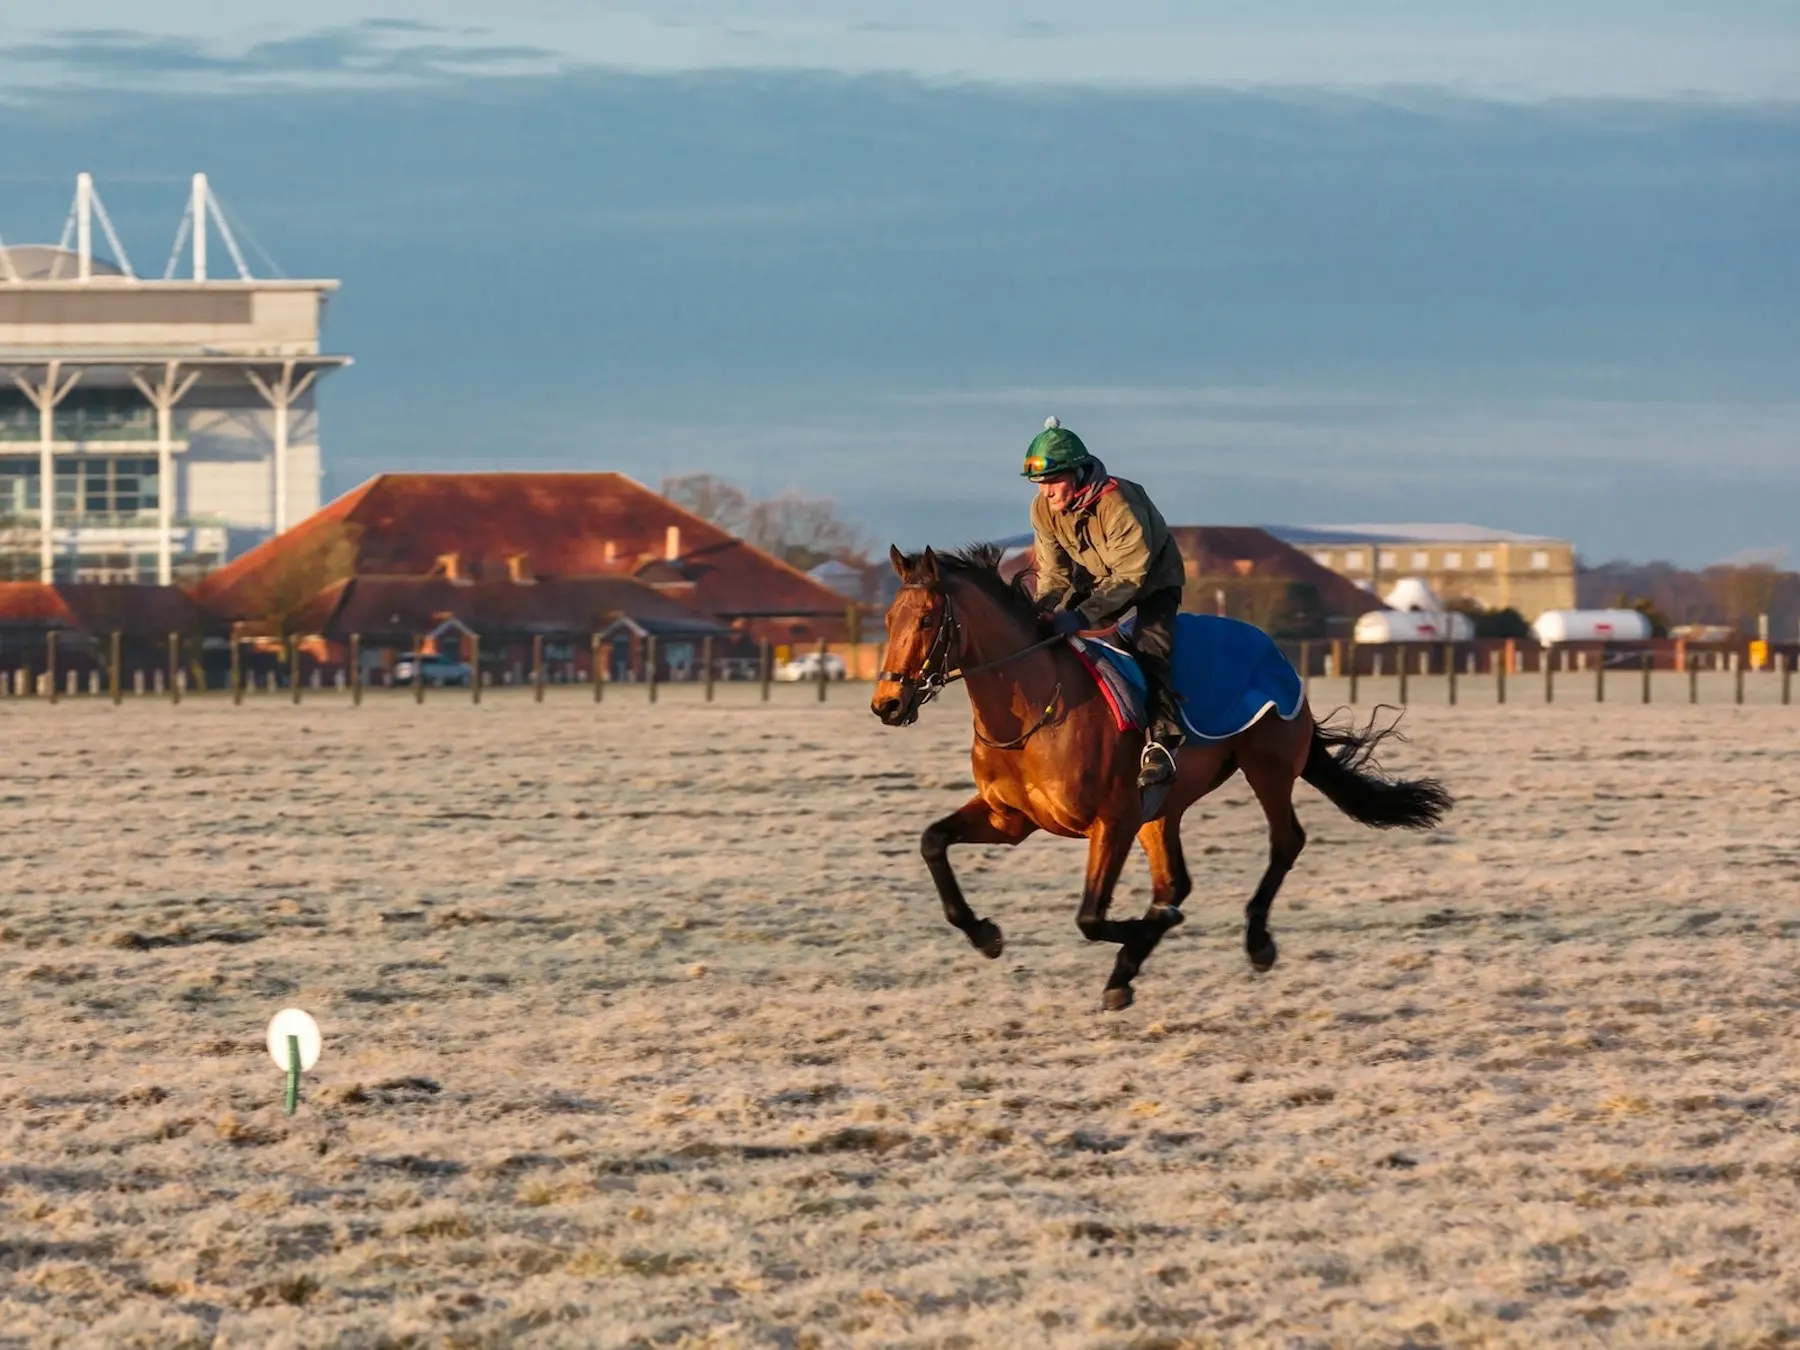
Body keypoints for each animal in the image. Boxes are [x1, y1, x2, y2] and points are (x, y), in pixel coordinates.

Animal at [867, 543, 1447, 1008]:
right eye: (889, 620)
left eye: (926, 621)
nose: (887, 704)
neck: (1034, 712)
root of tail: (1270, 645)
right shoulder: (1010, 819)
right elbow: (932, 842)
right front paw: (983, 932)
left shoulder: (1112, 822)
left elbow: (1090, 917)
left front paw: (1147, 931)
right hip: (1163, 807)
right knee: (1176, 881)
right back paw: (1127, 968)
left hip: (1267, 765)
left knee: (1285, 841)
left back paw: (1254, 941)